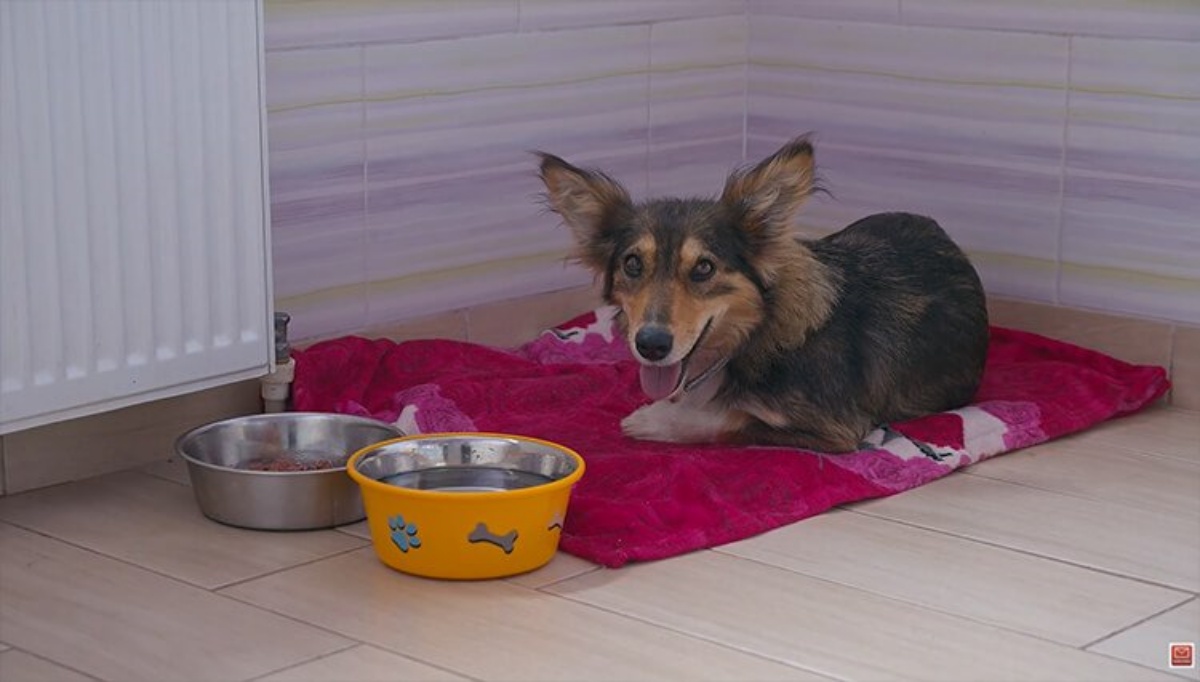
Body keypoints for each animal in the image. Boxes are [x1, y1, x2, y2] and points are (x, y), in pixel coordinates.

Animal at [540, 135, 988, 449]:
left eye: (704, 268)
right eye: (633, 264)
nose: (650, 344)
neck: (751, 334)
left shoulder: (837, 428)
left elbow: (732, 419)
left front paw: (656, 420)